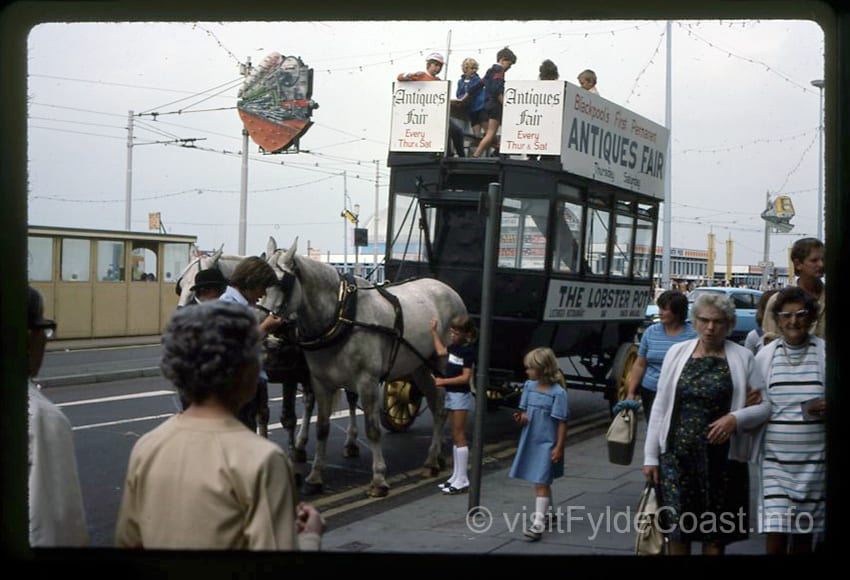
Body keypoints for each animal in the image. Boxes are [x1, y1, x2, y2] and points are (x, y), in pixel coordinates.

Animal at [262, 237, 468, 498]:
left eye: (282, 283)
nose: (264, 329)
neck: (341, 314)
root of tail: (446, 287)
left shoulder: (367, 381)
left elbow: (372, 429)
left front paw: (378, 479)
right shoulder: (321, 383)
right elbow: (322, 428)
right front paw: (315, 477)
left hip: (444, 362)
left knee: (443, 404)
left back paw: (434, 458)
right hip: (419, 365)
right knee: (437, 403)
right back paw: (435, 457)